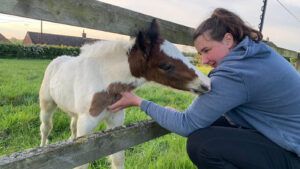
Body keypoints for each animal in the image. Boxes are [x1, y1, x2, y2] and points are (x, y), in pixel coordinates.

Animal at [38, 19, 211, 168]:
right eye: (166, 65)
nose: (207, 84)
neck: (104, 81)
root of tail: (58, 59)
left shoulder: (116, 121)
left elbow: (117, 158)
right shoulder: (86, 125)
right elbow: (81, 161)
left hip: (74, 112)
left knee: (72, 126)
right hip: (47, 104)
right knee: (46, 127)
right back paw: (42, 147)